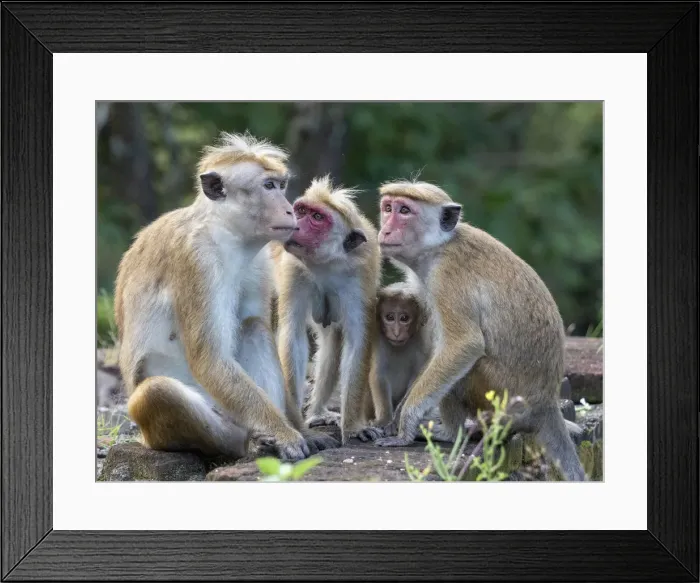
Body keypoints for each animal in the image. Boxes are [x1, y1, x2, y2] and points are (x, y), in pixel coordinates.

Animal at [115, 131, 336, 462]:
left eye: (280, 185)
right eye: (268, 186)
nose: (289, 209)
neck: (225, 232)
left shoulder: (259, 263)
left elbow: (253, 323)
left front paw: (299, 429)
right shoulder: (196, 260)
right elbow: (209, 357)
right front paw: (284, 433)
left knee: (254, 328)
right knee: (157, 393)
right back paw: (241, 444)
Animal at [272, 175, 382, 444]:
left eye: (317, 217)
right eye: (301, 211)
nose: (294, 222)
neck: (324, 264)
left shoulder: (360, 273)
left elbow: (357, 341)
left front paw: (353, 427)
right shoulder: (293, 269)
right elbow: (293, 337)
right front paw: (296, 426)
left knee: (333, 342)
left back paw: (318, 412)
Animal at [369, 179, 586, 481]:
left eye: (404, 210)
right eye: (388, 208)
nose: (386, 229)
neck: (439, 246)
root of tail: (546, 403)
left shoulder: (446, 277)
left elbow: (463, 346)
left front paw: (404, 426)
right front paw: (396, 418)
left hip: (503, 398)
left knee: (464, 372)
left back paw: (451, 434)